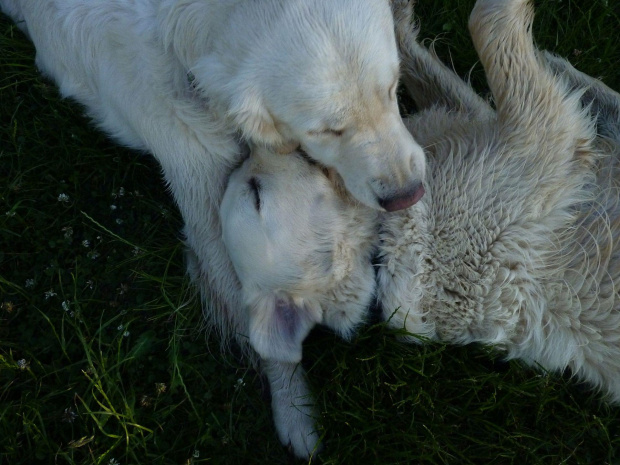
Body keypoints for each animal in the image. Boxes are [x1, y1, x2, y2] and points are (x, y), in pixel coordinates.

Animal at [0, 0, 426, 456]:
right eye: (325, 129)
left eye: (391, 89)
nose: (408, 195)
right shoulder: (207, 207)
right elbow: (262, 319)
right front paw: (294, 410)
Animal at [222, 0, 620, 432]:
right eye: (254, 193)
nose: (250, 142)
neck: (380, 246)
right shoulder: (540, 140)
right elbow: (486, 24)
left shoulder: (465, 122)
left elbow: (414, 59)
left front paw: (393, 18)